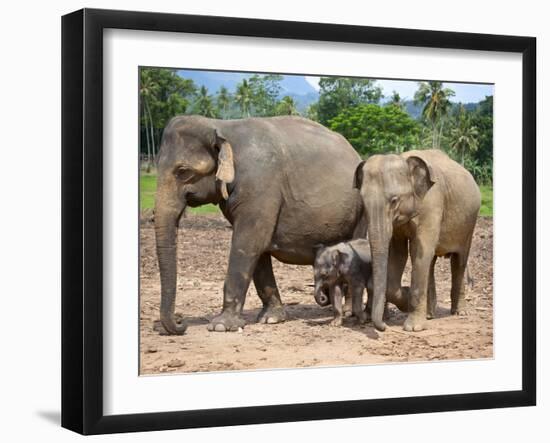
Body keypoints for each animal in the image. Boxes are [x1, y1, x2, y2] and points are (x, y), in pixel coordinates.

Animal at [154, 114, 366, 332]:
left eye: (183, 171)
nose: (181, 322)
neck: (221, 126)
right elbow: (258, 250)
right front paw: (271, 319)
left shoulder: (260, 187)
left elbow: (248, 243)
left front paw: (221, 326)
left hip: (360, 212)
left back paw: (347, 312)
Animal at [356, 149, 480, 332]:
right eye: (363, 203)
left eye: (394, 200)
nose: (383, 327)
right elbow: (398, 253)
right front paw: (406, 299)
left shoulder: (432, 204)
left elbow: (419, 252)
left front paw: (413, 327)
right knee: (431, 262)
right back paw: (429, 314)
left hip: (469, 224)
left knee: (459, 261)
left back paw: (459, 313)